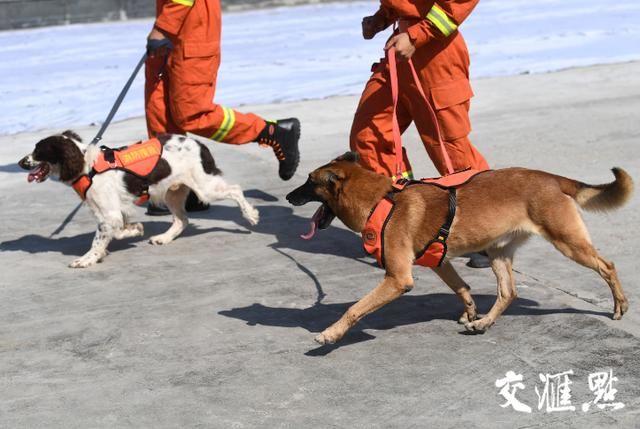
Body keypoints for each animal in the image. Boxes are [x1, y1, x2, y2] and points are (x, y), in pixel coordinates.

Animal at [20, 130, 260, 268]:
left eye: (38, 150)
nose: (21, 162)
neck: (87, 167)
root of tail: (198, 144)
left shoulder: (110, 214)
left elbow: (101, 238)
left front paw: (87, 259)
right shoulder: (112, 211)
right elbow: (116, 231)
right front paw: (134, 230)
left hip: (204, 187)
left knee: (235, 190)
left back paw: (250, 215)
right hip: (172, 192)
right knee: (182, 220)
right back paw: (163, 238)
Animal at [288, 152, 632, 342]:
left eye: (309, 181)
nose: (289, 196)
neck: (380, 200)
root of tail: (550, 177)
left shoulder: (398, 279)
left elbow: (355, 308)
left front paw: (330, 334)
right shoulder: (439, 262)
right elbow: (462, 288)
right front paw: (469, 313)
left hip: (568, 242)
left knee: (608, 266)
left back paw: (620, 306)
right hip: (498, 253)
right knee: (508, 293)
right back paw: (483, 323)